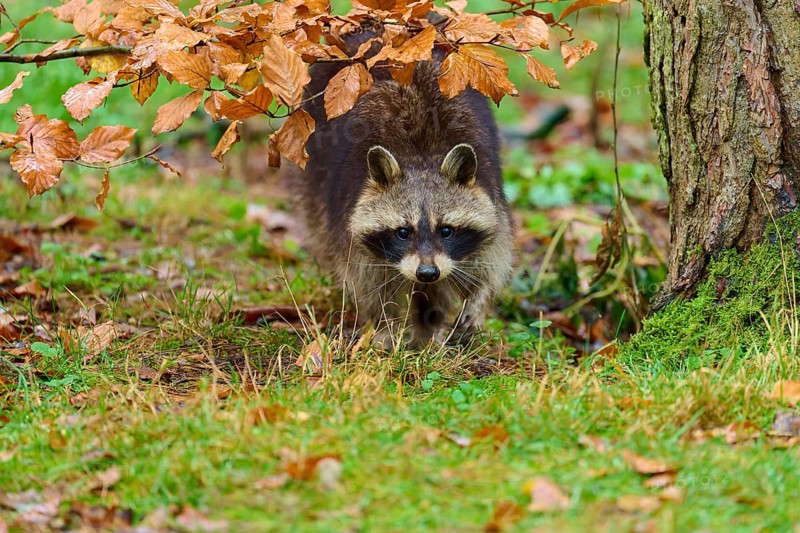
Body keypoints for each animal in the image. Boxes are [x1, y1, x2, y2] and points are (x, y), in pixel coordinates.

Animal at [292, 32, 514, 346]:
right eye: (402, 232)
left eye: (446, 230)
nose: (427, 272)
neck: (421, 158)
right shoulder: (347, 217)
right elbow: (366, 281)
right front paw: (385, 326)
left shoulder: (491, 193)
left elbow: (490, 265)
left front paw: (475, 306)